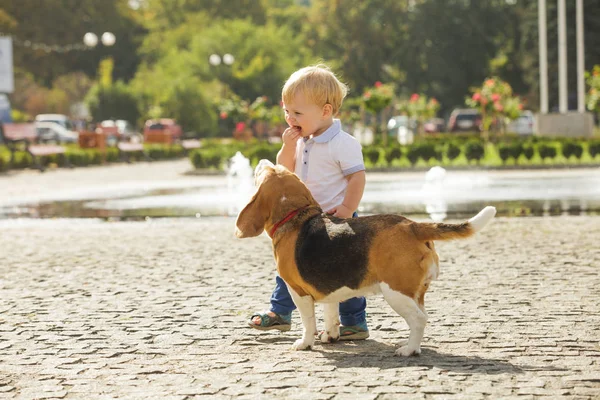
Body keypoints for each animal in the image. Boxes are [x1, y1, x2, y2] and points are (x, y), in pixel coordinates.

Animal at [236, 160, 496, 356]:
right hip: (415, 293)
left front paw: (305, 343)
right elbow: (331, 315)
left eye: (266, 171)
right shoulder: (329, 288)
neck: (295, 216)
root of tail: (413, 226)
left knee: (419, 319)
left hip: (396, 292)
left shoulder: (297, 292)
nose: (263, 161)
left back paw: (409, 350)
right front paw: (330, 336)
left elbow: (308, 321)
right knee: (422, 316)